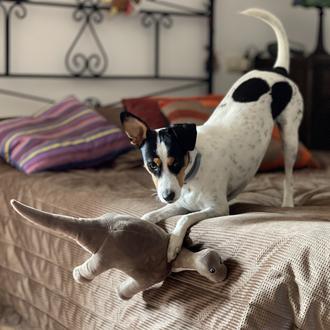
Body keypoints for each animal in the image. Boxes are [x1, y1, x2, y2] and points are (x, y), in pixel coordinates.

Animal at [120, 9, 302, 262]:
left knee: (288, 176)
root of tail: (276, 71)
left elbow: (184, 219)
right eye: (152, 165)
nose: (167, 195)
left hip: (290, 138)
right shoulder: (182, 203)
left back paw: (287, 202)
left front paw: (173, 245)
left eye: (176, 162)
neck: (193, 171)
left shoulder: (217, 209)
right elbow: (150, 215)